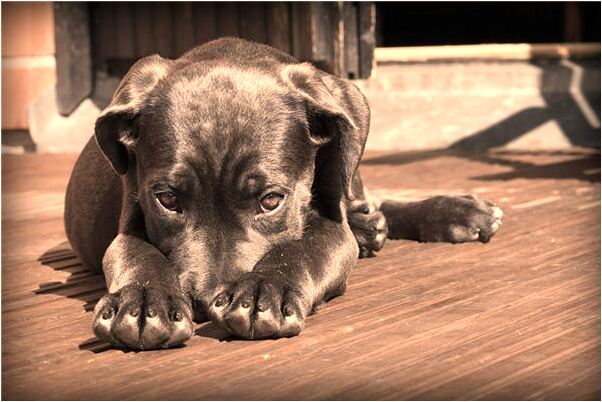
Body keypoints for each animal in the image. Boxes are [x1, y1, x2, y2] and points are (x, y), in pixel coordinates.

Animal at [63, 39, 500, 350]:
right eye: (167, 200)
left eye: (271, 200)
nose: (205, 302)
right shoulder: (130, 217)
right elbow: (135, 253)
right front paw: (142, 300)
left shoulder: (331, 225)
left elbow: (303, 248)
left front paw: (263, 290)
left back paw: (452, 212)